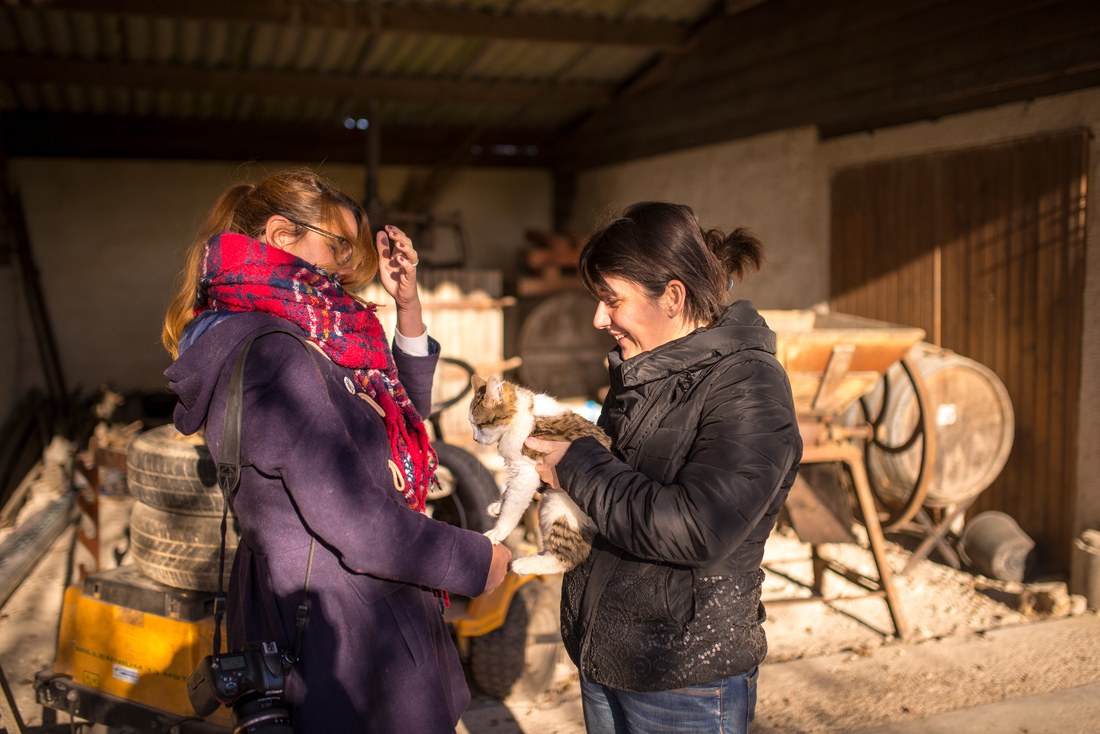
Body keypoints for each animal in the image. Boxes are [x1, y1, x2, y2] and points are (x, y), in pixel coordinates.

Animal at [468, 376, 616, 576]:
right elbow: (509, 492)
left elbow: (512, 508)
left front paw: (497, 532)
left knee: (569, 557)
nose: (475, 439)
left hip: (556, 509)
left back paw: (522, 564)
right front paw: (498, 505)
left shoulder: (526, 473)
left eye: (480, 425)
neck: (522, 414)